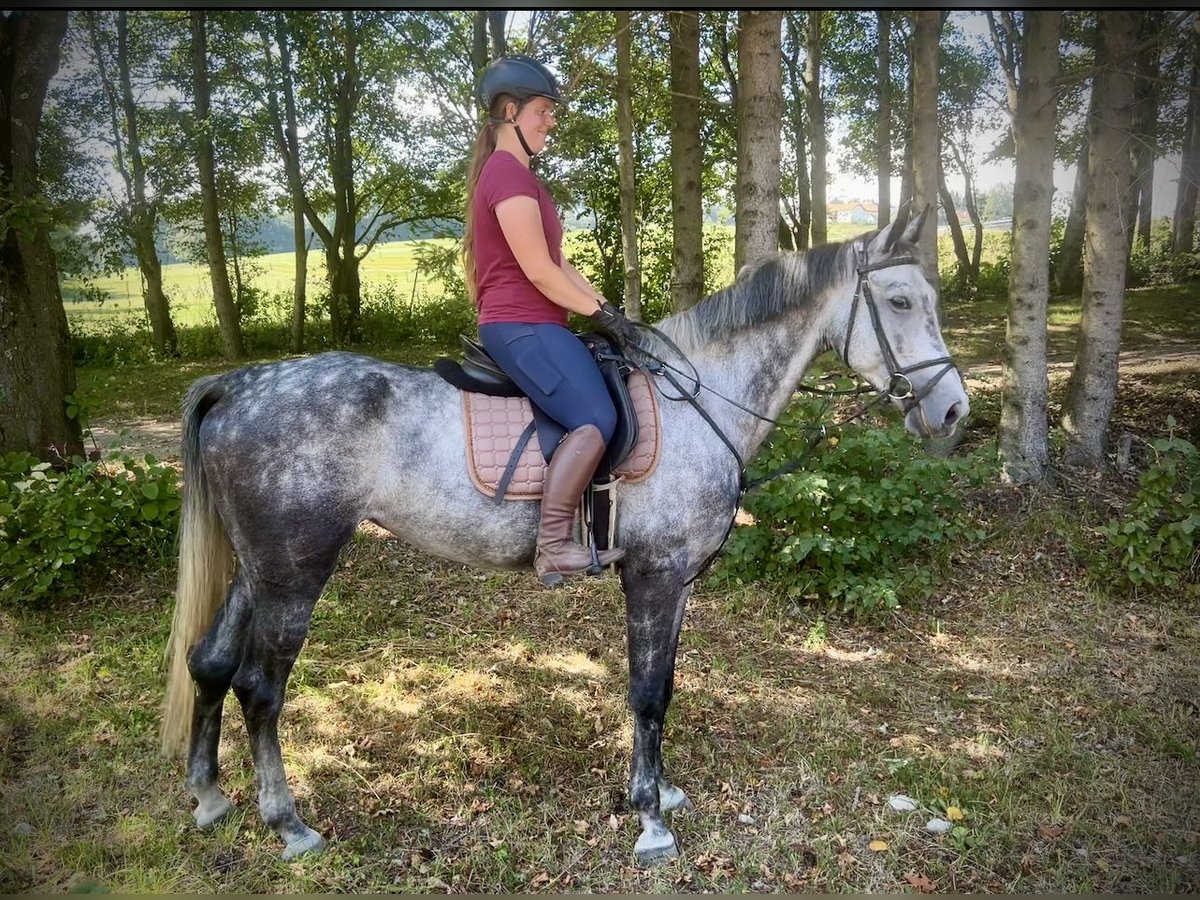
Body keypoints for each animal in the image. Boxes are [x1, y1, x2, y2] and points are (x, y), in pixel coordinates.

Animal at [162, 210, 964, 868]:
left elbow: (665, 687)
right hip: (295, 573)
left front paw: (663, 791)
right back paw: (289, 824)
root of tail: (238, 386)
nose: (954, 411)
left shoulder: (676, 583)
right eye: (900, 303)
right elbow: (646, 692)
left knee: (210, 662)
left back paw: (210, 796)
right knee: (259, 688)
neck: (699, 398)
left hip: (257, 568)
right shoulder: (654, 576)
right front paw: (650, 821)